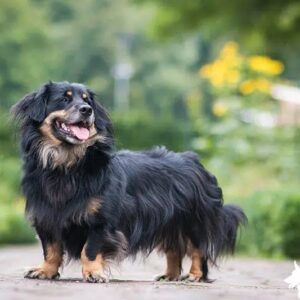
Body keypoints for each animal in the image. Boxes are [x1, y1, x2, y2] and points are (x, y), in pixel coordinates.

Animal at [11, 81, 246, 282]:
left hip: (193, 220)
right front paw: (45, 270)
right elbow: (51, 249)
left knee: (198, 248)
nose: (87, 110)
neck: (67, 164)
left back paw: (195, 275)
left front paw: (93, 273)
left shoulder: (101, 221)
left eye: (87, 101)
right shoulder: (46, 216)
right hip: (169, 222)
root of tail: (194, 161)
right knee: (174, 249)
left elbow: (90, 249)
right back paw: (169, 276)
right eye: (64, 99)